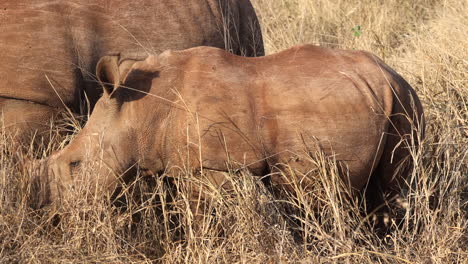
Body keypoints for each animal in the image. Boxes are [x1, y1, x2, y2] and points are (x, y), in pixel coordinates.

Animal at [39, 44, 424, 210]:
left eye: (75, 164)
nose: (58, 216)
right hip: (401, 104)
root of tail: (390, 76)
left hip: (383, 102)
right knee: (390, 189)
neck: (139, 111)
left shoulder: (211, 165)